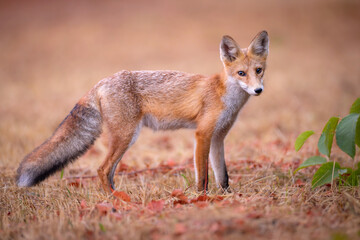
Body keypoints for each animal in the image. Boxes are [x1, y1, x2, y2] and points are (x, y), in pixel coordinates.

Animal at [17, 31, 270, 192]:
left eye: (258, 70)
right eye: (241, 73)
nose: (258, 90)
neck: (224, 96)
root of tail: (101, 81)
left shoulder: (218, 137)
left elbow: (222, 175)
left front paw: (228, 198)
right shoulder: (202, 134)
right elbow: (203, 176)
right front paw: (202, 199)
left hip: (126, 138)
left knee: (108, 173)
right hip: (126, 136)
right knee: (102, 170)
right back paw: (117, 201)